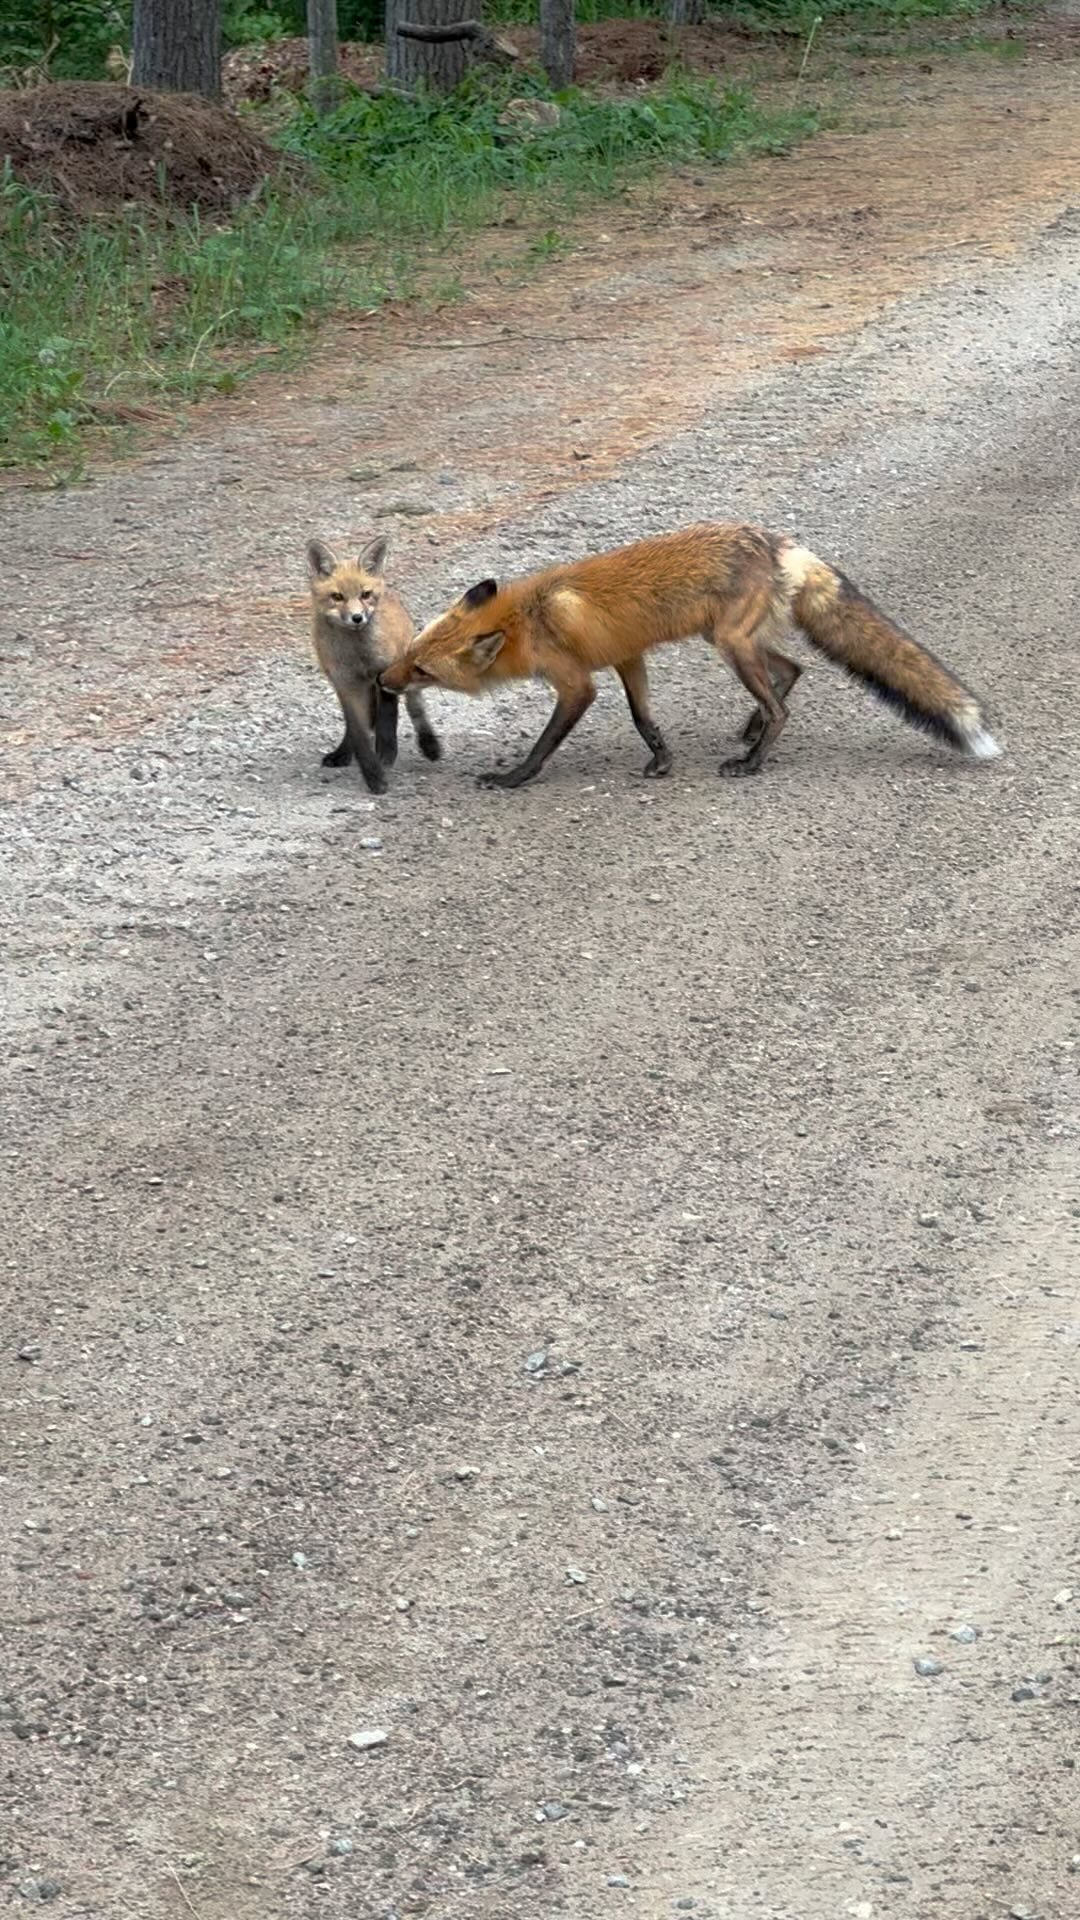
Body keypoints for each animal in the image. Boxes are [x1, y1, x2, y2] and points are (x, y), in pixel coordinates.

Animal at [307, 535, 441, 794]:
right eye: (337, 597)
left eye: (365, 594)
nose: (357, 618)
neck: (358, 656)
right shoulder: (346, 684)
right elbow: (358, 732)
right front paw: (374, 775)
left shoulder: (385, 672)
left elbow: (388, 717)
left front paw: (386, 753)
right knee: (358, 724)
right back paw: (342, 753)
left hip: (405, 672)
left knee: (414, 707)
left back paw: (429, 744)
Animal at [378, 522, 1001, 789]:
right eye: (410, 652)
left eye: (423, 670)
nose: (383, 679)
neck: (528, 618)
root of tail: (777, 543)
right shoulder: (627, 657)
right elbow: (644, 720)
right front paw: (662, 761)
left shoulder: (577, 683)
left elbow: (545, 744)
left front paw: (514, 778)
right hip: (732, 641)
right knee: (792, 671)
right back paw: (751, 730)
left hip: (731, 646)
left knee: (782, 706)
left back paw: (753, 759)